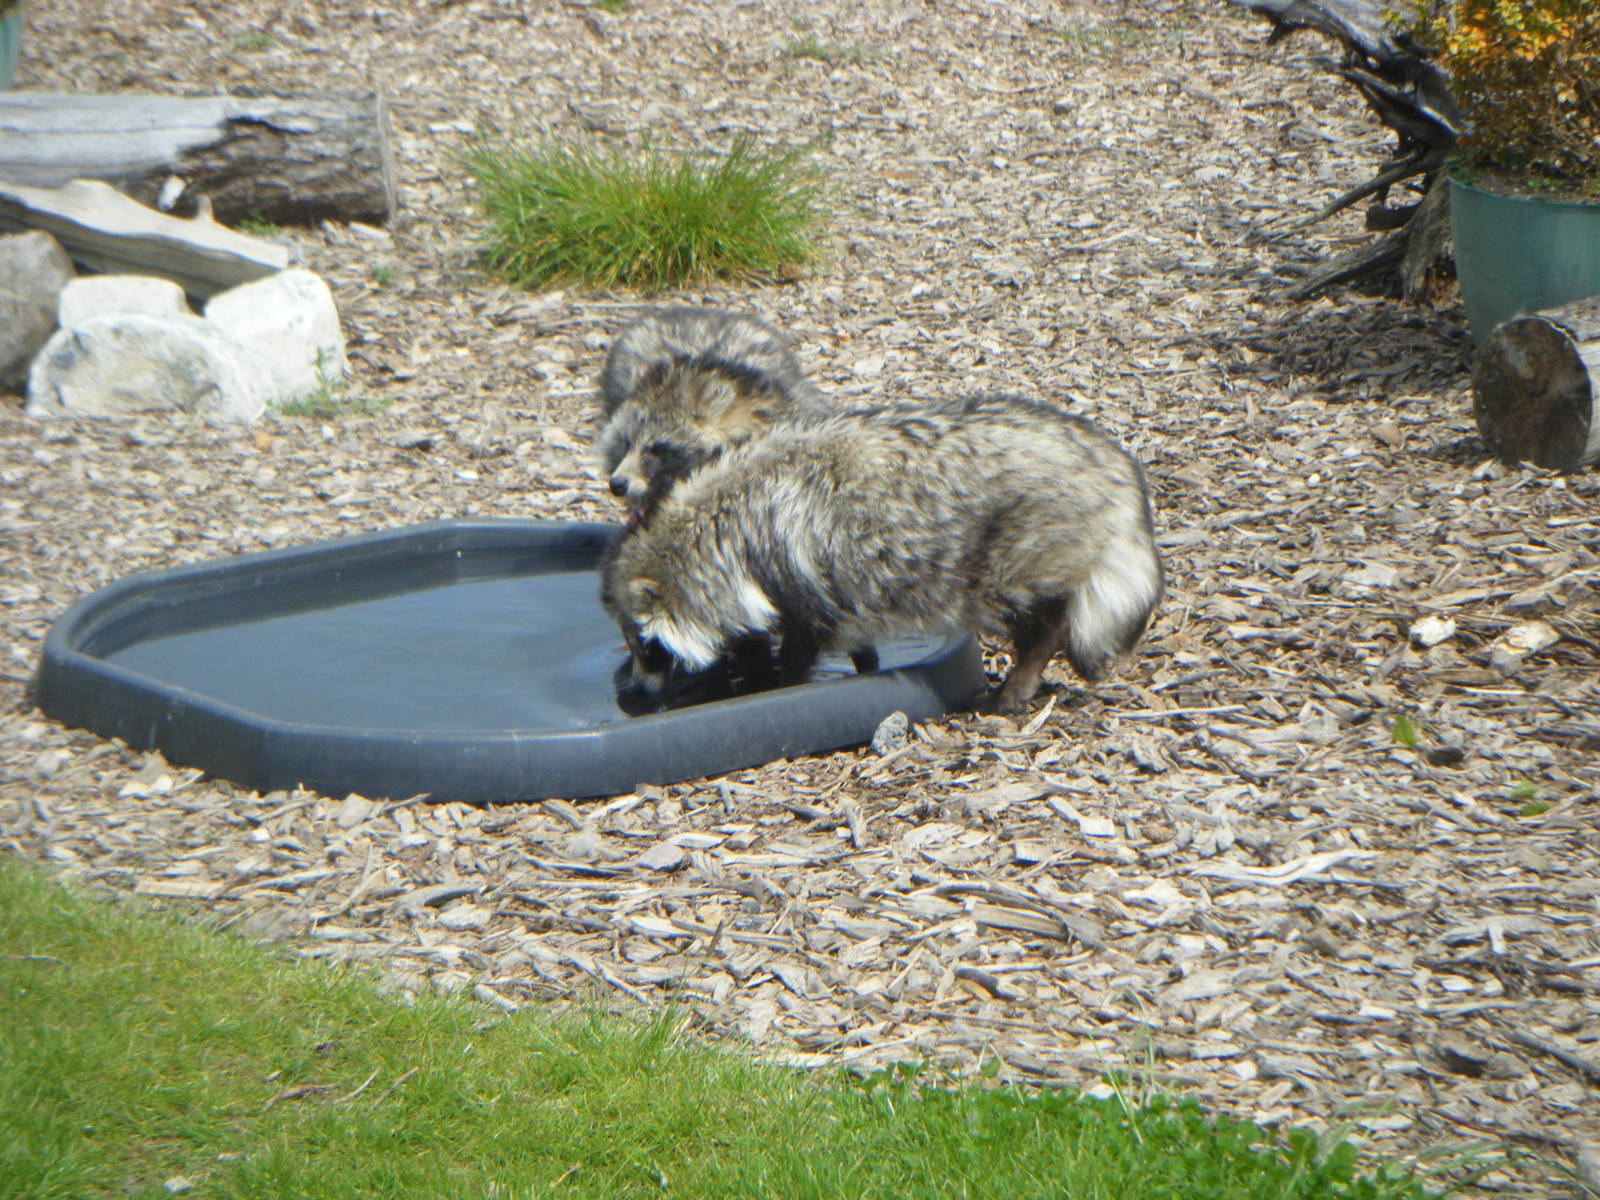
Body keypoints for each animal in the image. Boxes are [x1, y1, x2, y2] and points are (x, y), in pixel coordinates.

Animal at [600, 393, 1164, 713]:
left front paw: (779, 685)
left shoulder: (794, 572)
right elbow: (853, 633)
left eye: (646, 647)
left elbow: (802, 644)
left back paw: (1025, 672)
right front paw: (864, 664)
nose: (634, 694)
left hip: (1021, 547)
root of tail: (1116, 467)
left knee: (1043, 617)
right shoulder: (830, 578)